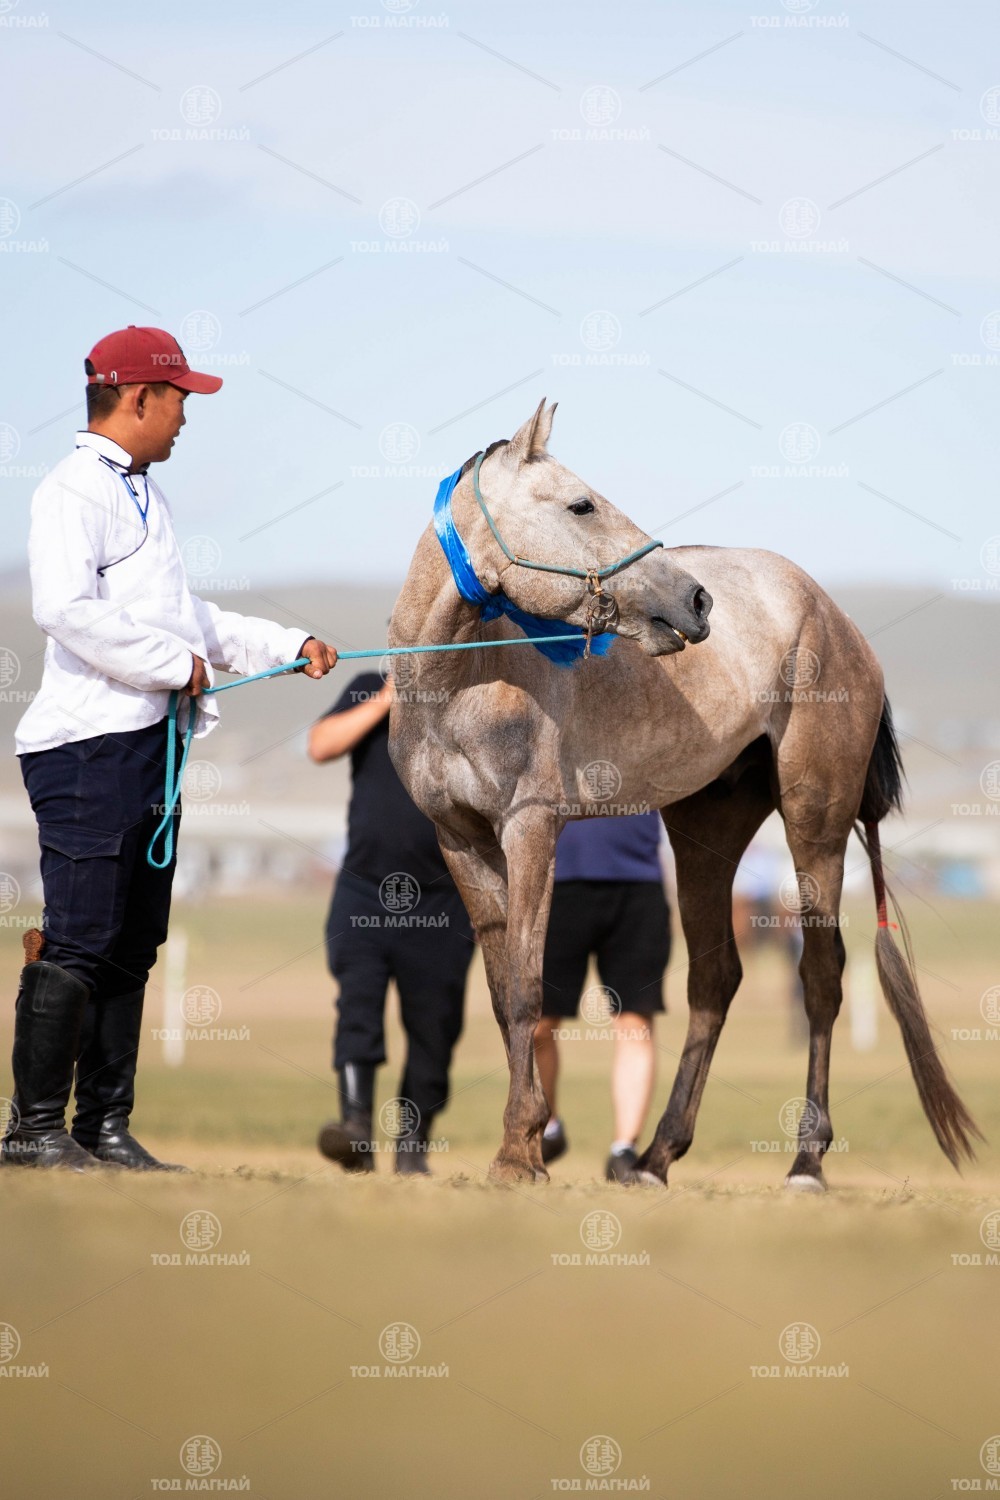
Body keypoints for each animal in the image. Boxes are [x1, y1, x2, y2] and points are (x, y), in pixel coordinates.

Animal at [387, 399, 980, 1189]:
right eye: (582, 504)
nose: (695, 599)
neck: (462, 680)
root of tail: (833, 615)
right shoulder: (460, 838)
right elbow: (502, 989)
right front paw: (527, 1146)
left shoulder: (531, 829)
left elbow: (525, 991)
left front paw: (519, 1154)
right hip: (707, 830)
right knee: (714, 981)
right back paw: (655, 1156)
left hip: (814, 826)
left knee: (821, 977)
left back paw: (806, 1161)